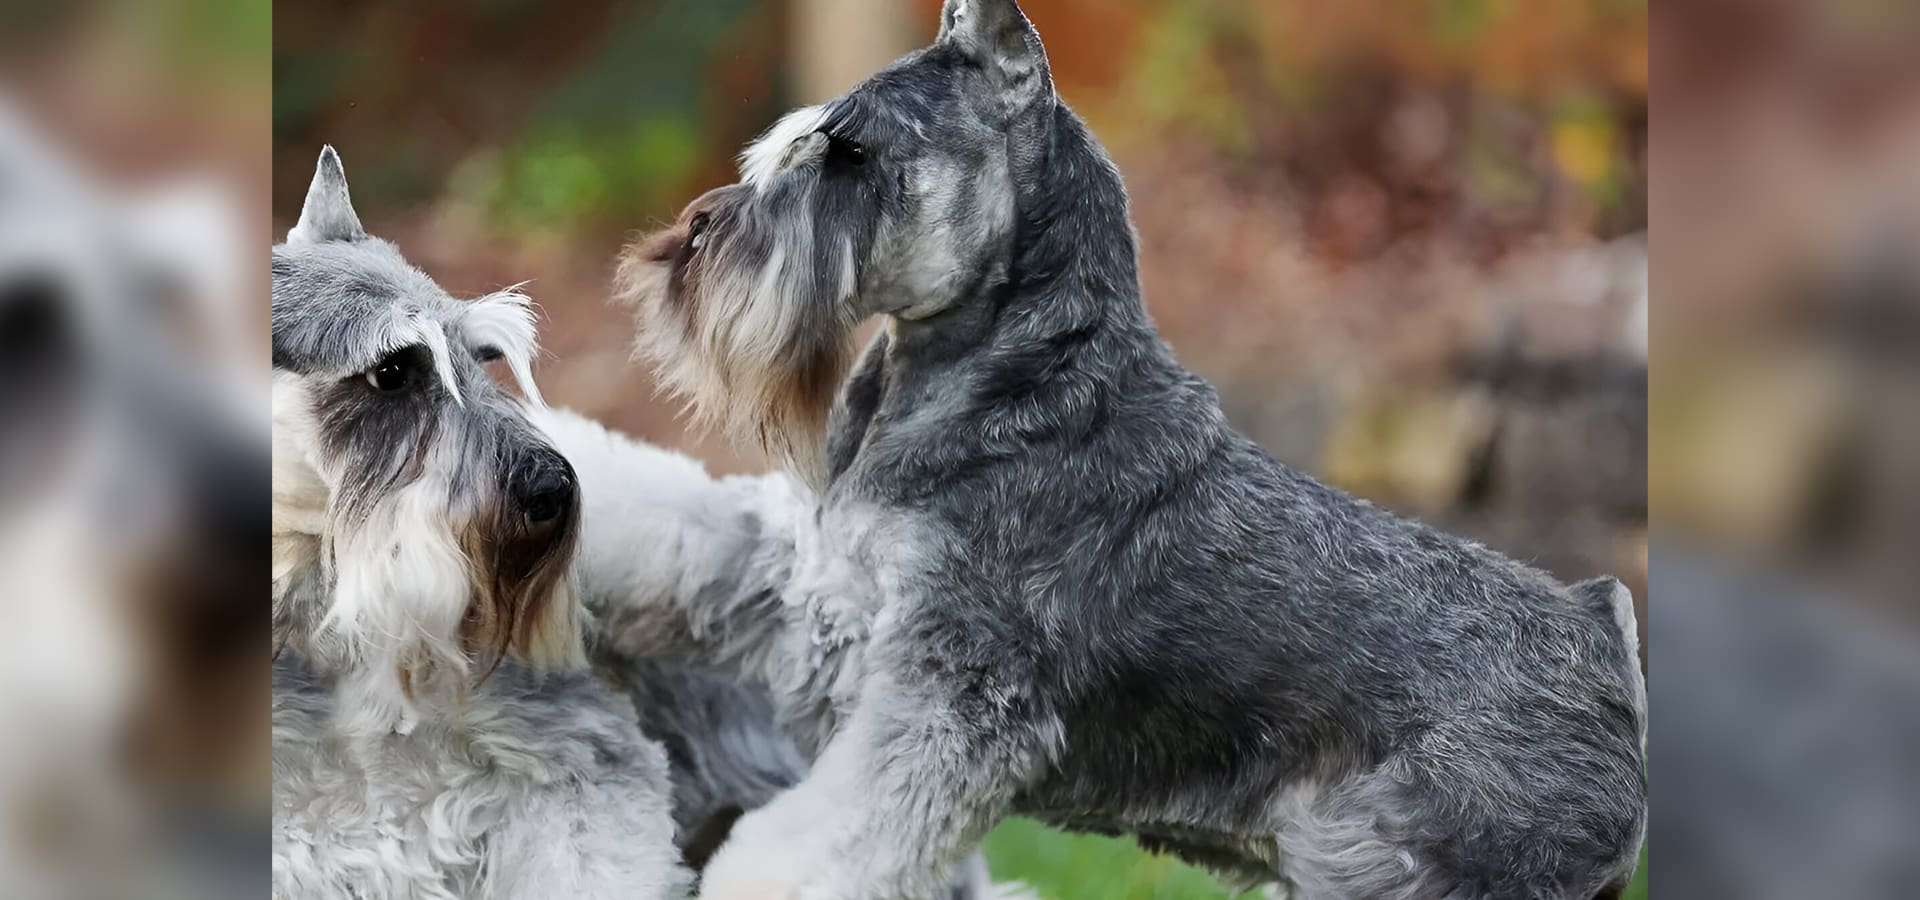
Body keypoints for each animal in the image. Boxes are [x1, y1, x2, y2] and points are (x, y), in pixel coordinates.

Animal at [610, 1, 1651, 898]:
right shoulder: (825, 605)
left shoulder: (950, 695)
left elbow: (817, 845)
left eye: (852, 150)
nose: (694, 236)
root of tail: (1603, 641)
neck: (1014, 385)